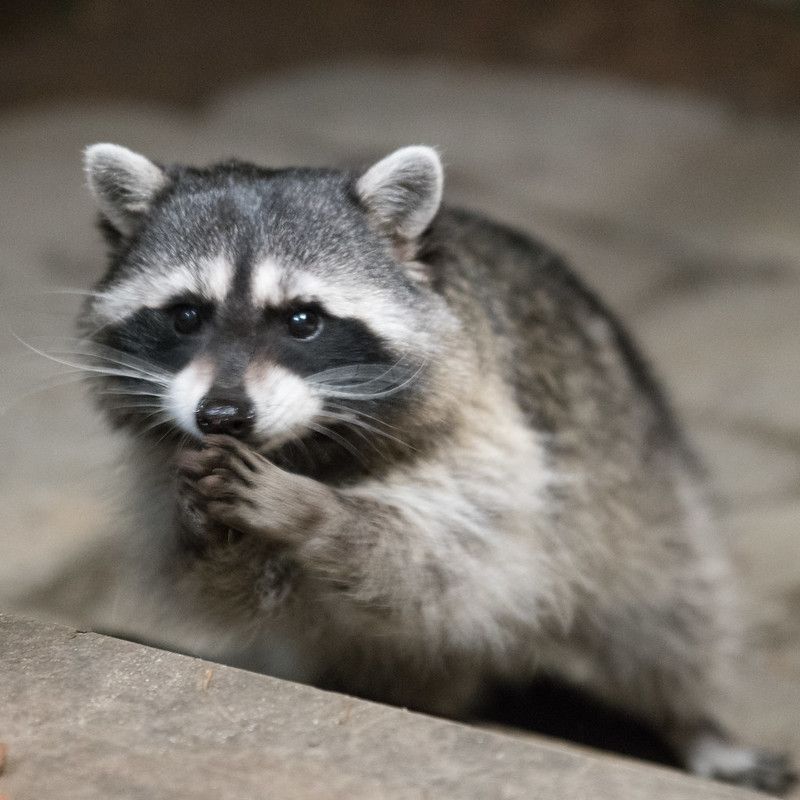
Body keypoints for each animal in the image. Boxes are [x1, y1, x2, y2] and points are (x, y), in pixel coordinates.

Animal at [77, 142, 794, 792]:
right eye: (186, 315)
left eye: (302, 320)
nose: (223, 415)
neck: (301, 443)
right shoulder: (159, 461)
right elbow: (221, 586)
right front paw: (204, 527)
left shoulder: (497, 434)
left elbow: (459, 567)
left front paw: (313, 513)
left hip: (632, 475)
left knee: (662, 607)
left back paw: (693, 721)